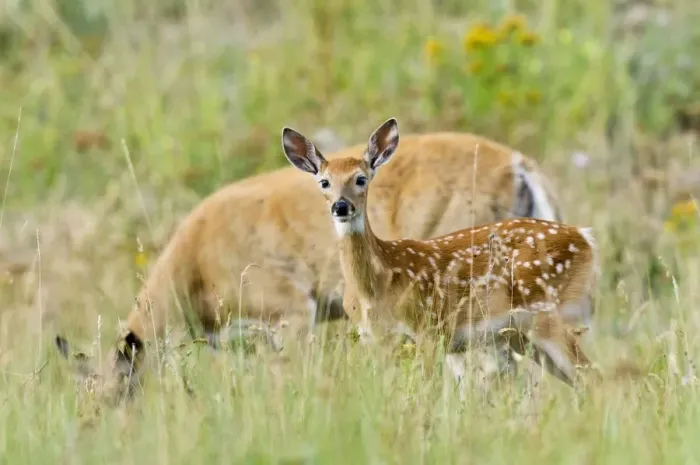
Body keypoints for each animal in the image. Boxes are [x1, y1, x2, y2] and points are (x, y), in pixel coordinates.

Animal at [281, 117, 599, 392]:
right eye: (324, 182)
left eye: (361, 178)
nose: (341, 206)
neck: (376, 283)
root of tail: (585, 237)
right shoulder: (375, 339)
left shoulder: (428, 331)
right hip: (520, 334)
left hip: (550, 313)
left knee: (595, 378)